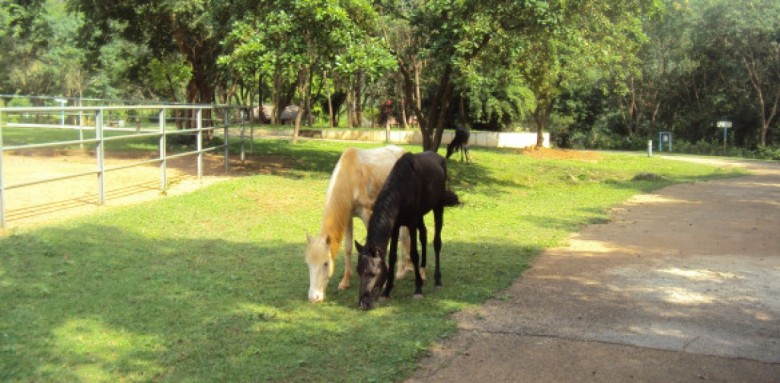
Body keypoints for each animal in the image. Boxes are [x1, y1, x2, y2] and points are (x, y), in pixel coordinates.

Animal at [306, 146, 414, 304]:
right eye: (308, 263)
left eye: (326, 263)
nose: (314, 297)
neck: (350, 177)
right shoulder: (348, 216)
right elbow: (348, 248)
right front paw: (345, 282)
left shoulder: (367, 213)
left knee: (404, 235)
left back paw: (402, 270)